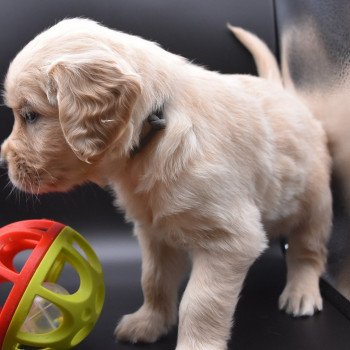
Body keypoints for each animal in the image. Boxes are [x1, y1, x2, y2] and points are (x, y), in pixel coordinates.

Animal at [1, 19, 332, 350]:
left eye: (30, 115)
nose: (3, 161)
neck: (157, 125)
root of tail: (283, 93)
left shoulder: (230, 241)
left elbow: (200, 304)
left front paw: (195, 345)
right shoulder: (154, 233)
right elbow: (153, 280)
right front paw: (148, 322)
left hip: (315, 203)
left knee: (307, 251)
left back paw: (301, 292)